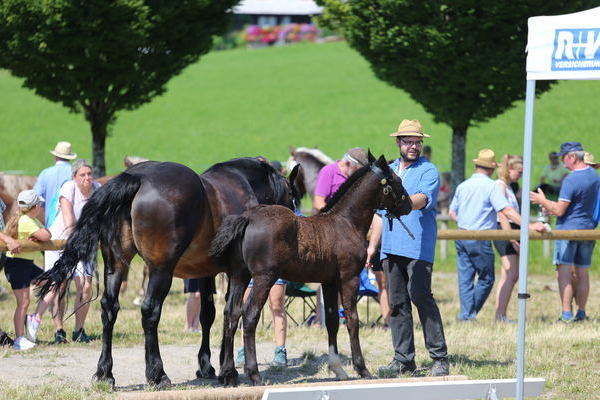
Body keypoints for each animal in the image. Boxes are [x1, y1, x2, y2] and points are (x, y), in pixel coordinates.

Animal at [34, 159, 300, 388]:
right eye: (291, 195)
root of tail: (136, 177)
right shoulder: (235, 272)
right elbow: (229, 313)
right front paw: (226, 369)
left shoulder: (205, 273)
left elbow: (208, 315)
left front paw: (206, 365)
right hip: (161, 270)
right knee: (150, 310)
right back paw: (157, 373)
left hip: (116, 266)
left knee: (109, 308)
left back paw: (105, 373)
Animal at [211, 152, 412, 384]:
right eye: (396, 181)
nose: (409, 205)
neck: (345, 222)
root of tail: (248, 217)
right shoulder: (349, 278)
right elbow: (352, 319)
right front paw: (362, 369)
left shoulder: (329, 282)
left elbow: (332, 321)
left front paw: (338, 369)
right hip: (263, 278)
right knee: (250, 315)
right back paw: (254, 374)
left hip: (239, 276)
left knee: (231, 314)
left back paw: (228, 374)